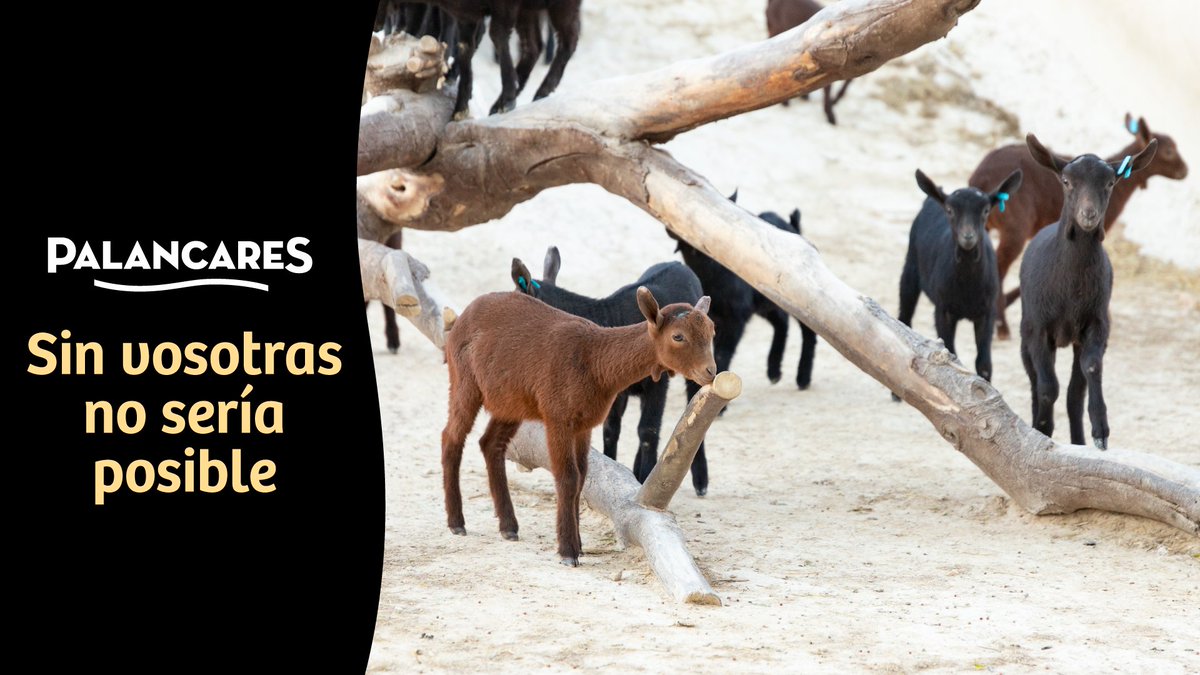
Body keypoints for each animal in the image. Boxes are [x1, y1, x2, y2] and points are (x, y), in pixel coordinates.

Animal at [442, 288, 715, 566]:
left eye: (712, 331)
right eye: (678, 336)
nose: (710, 371)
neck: (595, 362)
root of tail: (461, 318)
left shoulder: (585, 424)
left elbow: (582, 475)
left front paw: (580, 545)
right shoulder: (558, 417)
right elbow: (568, 477)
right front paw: (568, 550)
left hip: (510, 401)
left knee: (490, 444)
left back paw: (508, 526)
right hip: (464, 381)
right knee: (451, 438)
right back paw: (456, 522)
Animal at [511, 247, 706, 490]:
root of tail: (678, 264)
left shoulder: (657, 383)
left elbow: (648, 430)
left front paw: (644, 479)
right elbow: (610, 430)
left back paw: (700, 480)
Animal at [893, 169, 1022, 401]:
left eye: (986, 210)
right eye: (950, 210)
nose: (968, 237)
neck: (967, 287)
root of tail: (934, 196)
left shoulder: (987, 312)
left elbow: (984, 363)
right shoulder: (943, 311)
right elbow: (951, 353)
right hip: (910, 268)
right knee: (904, 316)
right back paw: (895, 395)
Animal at [969, 114, 1188, 339]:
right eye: (1169, 151)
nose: (1184, 171)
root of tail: (981, 179)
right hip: (1015, 225)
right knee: (999, 265)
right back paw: (1002, 325)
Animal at [1018, 133, 1157, 450]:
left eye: (1110, 183)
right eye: (1066, 181)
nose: (1088, 214)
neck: (1070, 290)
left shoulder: (1097, 324)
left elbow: (1090, 370)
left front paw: (1100, 430)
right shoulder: (1039, 329)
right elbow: (1047, 388)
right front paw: (1042, 429)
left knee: (1073, 394)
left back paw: (1081, 442)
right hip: (1026, 332)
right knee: (1035, 383)